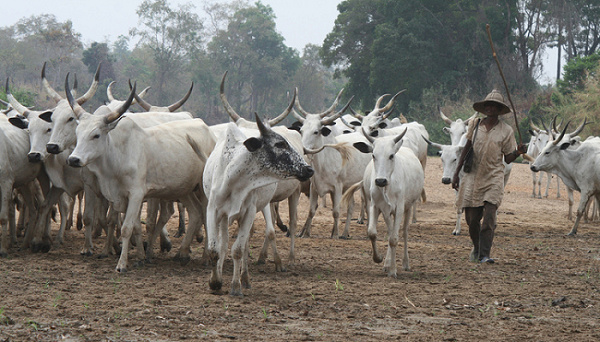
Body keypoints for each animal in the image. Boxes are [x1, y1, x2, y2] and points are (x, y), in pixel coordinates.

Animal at [65, 81, 216, 272]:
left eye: (96, 135)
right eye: (77, 133)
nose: (73, 159)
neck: (119, 155)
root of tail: (208, 130)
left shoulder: (136, 195)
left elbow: (126, 228)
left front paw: (122, 264)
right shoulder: (124, 198)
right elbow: (136, 226)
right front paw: (140, 257)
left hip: (203, 190)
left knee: (206, 216)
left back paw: (205, 257)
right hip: (184, 189)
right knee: (196, 214)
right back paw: (181, 254)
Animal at [203, 115, 312, 296]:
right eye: (280, 144)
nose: (309, 169)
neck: (233, 179)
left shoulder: (249, 212)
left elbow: (238, 250)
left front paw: (236, 286)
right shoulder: (213, 210)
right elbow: (214, 250)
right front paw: (215, 281)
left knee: (246, 245)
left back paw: (245, 279)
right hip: (226, 217)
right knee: (224, 244)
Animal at [342, 127, 422, 276]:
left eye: (391, 156)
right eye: (373, 155)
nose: (380, 181)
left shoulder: (399, 208)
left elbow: (394, 239)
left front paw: (393, 271)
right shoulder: (376, 206)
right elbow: (372, 233)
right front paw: (378, 258)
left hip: (408, 207)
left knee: (404, 232)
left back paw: (405, 263)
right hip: (386, 212)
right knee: (390, 232)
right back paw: (387, 264)